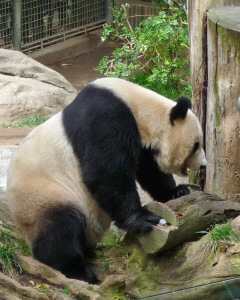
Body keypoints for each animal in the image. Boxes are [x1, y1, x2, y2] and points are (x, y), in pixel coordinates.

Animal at [7, 77, 206, 284]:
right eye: (196, 145)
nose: (203, 165)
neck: (137, 105)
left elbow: (149, 169)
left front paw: (176, 191)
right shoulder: (106, 119)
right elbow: (105, 171)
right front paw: (142, 218)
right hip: (44, 193)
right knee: (60, 228)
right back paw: (78, 272)